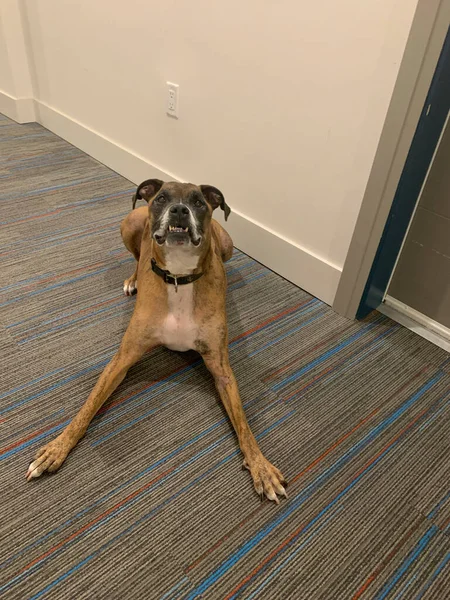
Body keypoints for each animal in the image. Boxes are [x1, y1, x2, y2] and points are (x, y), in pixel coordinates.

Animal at [27, 180, 288, 504]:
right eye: (162, 198)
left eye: (199, 202)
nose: (179, 210)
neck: (178, 277)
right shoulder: (122, 359)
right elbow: (87, 407)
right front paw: (57, 448)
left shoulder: (222, 370)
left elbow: (244, 424)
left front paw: (261, 467)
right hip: (129, 222)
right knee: (137, 256)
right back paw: (133, 279)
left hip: (226, 243)